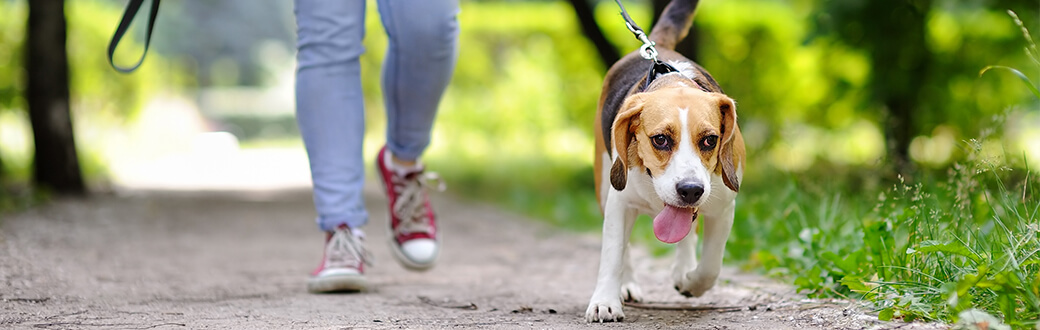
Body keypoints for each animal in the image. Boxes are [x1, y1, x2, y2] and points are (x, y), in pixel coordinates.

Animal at [586, 0, 748, 320]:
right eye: (660, 139)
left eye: (710, 140)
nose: (690, 190)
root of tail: (657, 47)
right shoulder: (619, 201)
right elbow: (613, 253)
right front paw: (605, 301)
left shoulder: (723, 206)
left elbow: (710, 267)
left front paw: (690, 281)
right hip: (604, 185)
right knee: (624, 249)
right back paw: (627, 285)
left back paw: (683, 269)